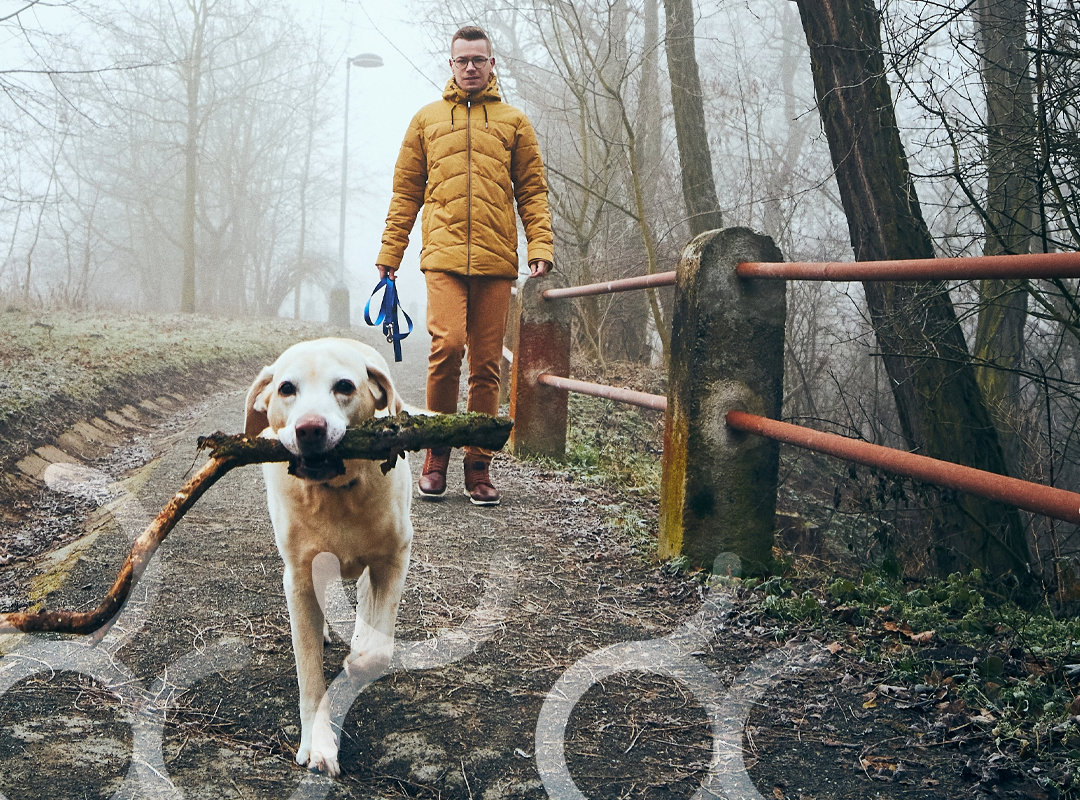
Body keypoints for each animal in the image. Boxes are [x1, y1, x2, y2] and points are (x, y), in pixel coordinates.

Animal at [245, 336, 412, 773]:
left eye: (345, 386)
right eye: (286, 388)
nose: (309, 429)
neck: (336, 492)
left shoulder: (394, 558)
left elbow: (378, 649)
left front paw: (358, 662)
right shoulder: (299, 577)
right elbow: (309, 677)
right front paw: (318, 745)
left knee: (368, 604)